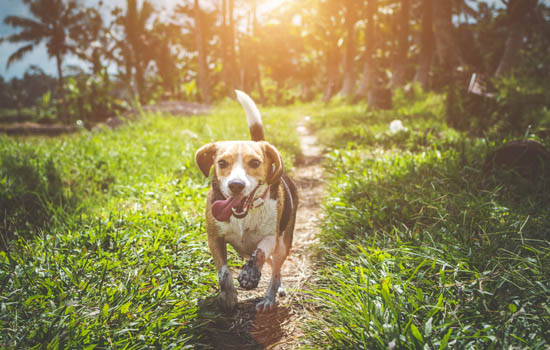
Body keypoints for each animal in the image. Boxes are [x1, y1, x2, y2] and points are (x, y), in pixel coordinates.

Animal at [196, 89, 300, 312]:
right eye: (221, 163)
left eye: (254, 162)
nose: (236, 185)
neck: (244, 215)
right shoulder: (214, 238)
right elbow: (224, 272)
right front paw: (228, 296)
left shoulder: (271, 237)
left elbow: (259, 252)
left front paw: (250, 275)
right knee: (273, 267)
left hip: (283, 244)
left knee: (275, 271)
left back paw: (269, 297)